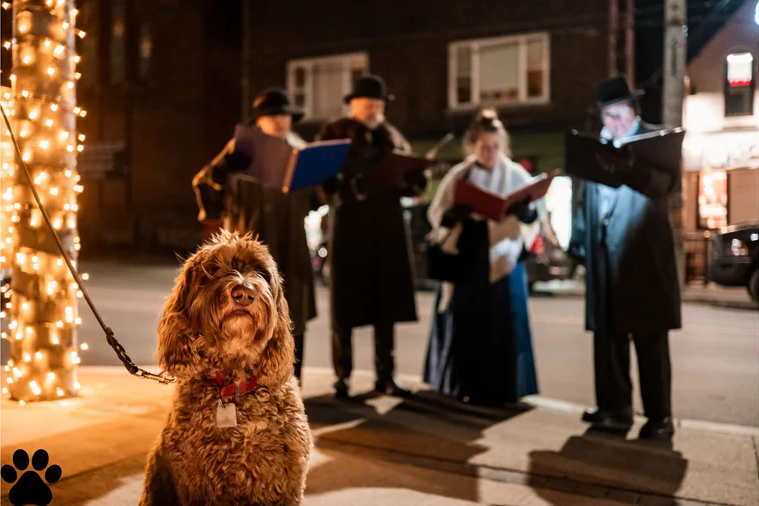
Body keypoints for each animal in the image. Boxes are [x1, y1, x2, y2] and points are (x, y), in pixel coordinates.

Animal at [140, 231, 312, 504]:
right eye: (212, 269)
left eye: (260, 272)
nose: (244, 293)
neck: (235, 384)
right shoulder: (198, 485)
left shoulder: (288, 485)